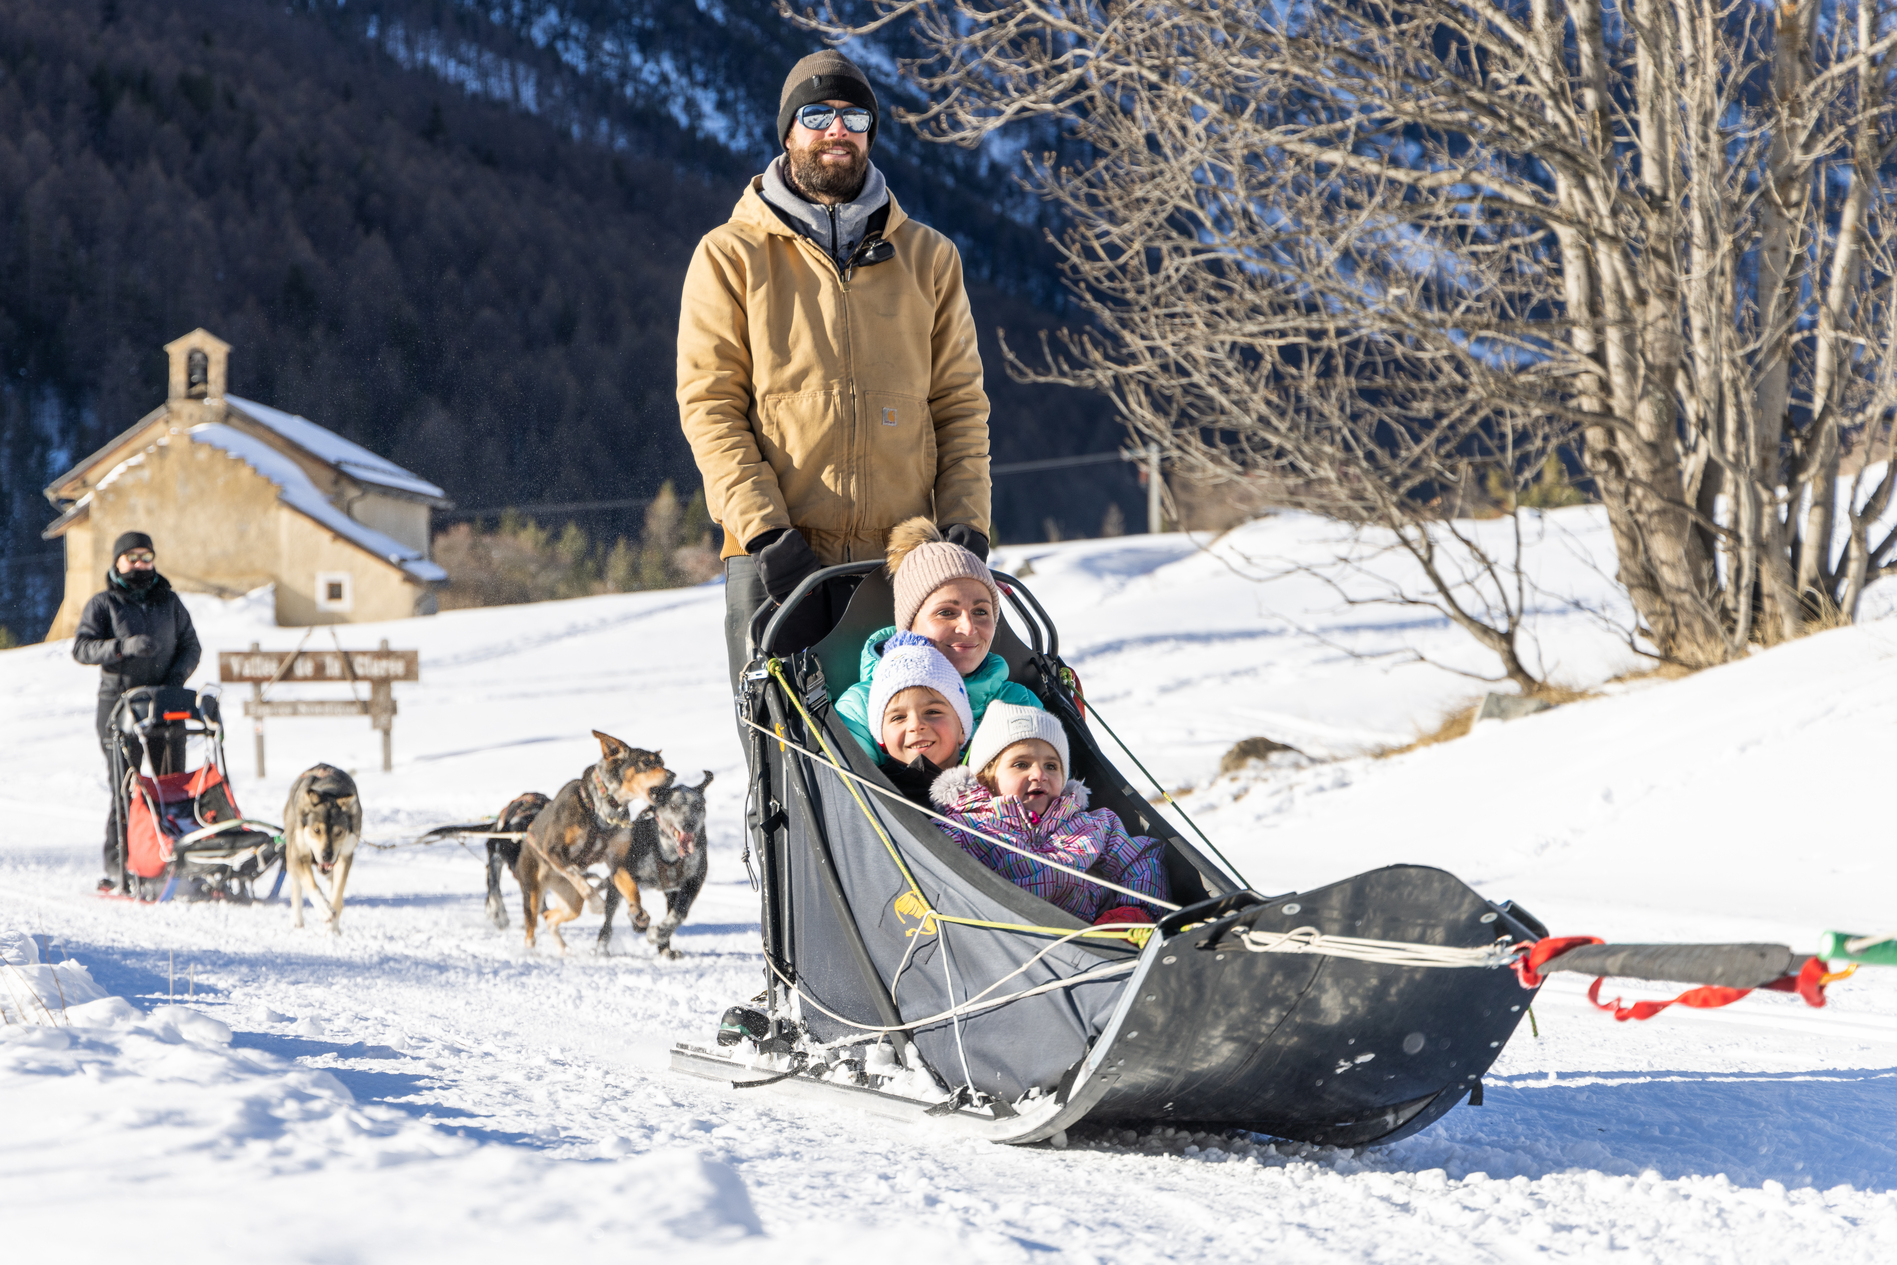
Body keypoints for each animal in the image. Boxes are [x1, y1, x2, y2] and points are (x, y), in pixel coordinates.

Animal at [280, 762, 362, 929]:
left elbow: (337, 895)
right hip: (291, 856)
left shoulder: (345, 857)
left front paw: (332, 929)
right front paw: (324, 910)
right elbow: (311, 884)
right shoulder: (299, 856)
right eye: (317, 830)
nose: (326, 856)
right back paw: (297, 920)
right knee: (296, 886)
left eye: (339, 832)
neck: (330, 791)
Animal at [515, 732, 671, 948]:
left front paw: (637, 912)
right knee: (530, 932)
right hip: (533, 895)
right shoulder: (554, 851)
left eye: (662, 762)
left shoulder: (617, 863)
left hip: (572, 902)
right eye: (646, 762)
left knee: (550, 918)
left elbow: (632, 890)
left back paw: (565, 950)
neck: (602, 809)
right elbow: (582, 882)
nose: (672, 775)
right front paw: (597, 903)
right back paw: (532, 951)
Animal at [599, 773, 713, 959]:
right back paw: (601, 948)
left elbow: (679, 914)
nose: (689, 823)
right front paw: (638, 919)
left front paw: (657, 934)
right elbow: (634, 896)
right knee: (608, 921)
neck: (670, 853)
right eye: (674, 805)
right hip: (614, 889)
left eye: (697, 805)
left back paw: (665, 948)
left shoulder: (693, 880)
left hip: (670, 893)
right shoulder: (626, 873)